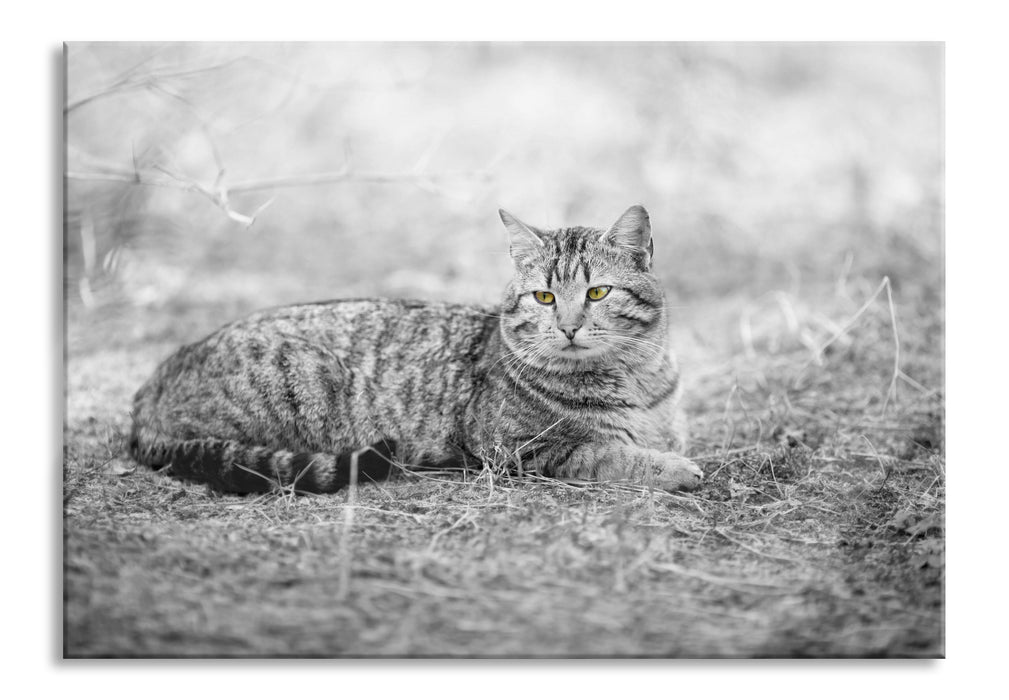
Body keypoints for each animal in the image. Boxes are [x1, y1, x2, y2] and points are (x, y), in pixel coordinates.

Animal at [128, 204, 702, 494]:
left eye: (597, 293)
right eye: (544, 297)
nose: (567, 327)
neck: (635, 379)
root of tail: (153, 382)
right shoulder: (519, 448)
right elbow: (607, 453)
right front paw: (673, 469)